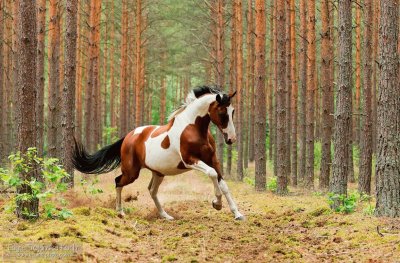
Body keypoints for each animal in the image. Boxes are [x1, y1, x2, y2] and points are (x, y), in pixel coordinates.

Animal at [73, 86, 245, 221]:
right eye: (222, 112)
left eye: (233, 111)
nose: (231, 139)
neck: (192, 128)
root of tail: (128, 136)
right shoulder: (190, 160)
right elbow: (212, 174)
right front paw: (217, 203)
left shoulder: (212, 160)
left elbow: (223, 184)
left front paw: (237, 214)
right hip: (131, 172)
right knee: (118, 182)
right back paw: (120, 212)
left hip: (158, 173)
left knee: (152, 190)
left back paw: (165, 215)